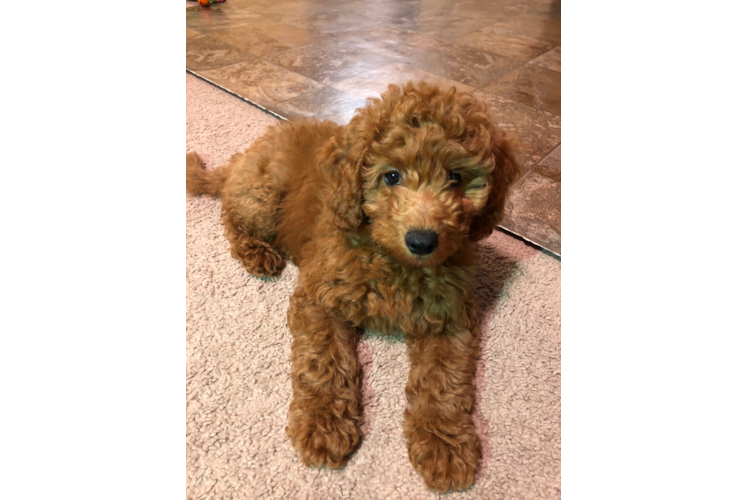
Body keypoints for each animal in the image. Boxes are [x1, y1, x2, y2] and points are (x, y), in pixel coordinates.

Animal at [186, 82, 520, 492]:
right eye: (391, 177)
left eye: (455, 178)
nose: (422, 241)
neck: (394, 260)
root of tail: (247, 153)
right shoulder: (319, 296)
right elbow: (323, 361)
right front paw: (323, 426)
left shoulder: (451, 314)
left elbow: (445, 380)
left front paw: (444, 445)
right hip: (263, 195)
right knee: (232, 216)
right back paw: (257, 253)